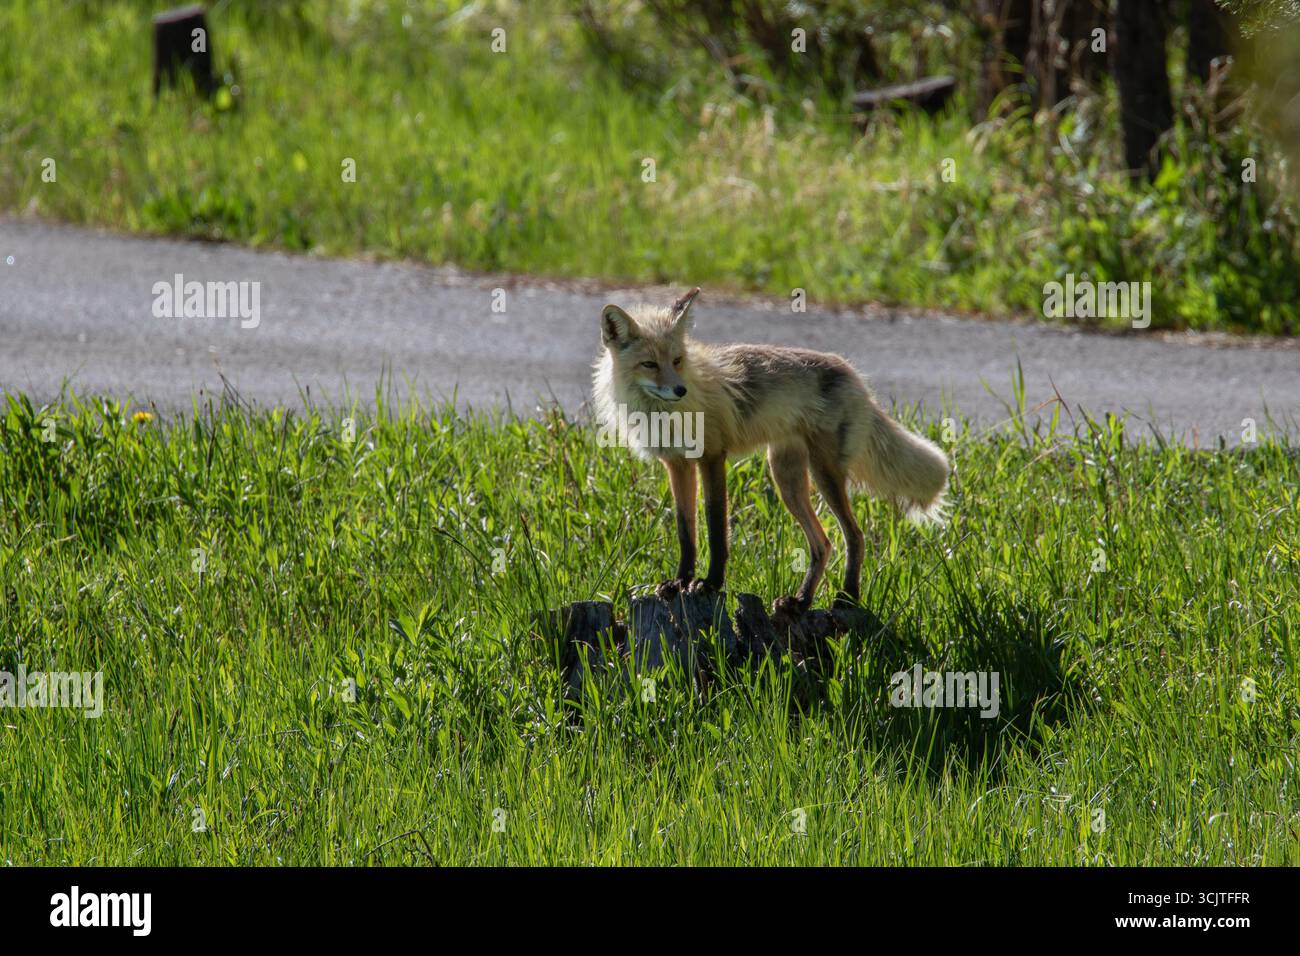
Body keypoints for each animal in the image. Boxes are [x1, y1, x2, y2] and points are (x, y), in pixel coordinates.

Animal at [593, 287, 950, 615]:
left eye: (677, 360)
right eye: (649, 364)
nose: (679, 390)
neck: (664, 414)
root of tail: (853, 375)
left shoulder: (712, 456)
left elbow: (715, 526)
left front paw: (710, 584)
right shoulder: (676, 463)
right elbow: (686, 531)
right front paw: (680, 582)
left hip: (823, 474)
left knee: (855, 536)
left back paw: (847, 597)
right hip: (786, 478)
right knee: (823, 543)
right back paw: (801, 601)